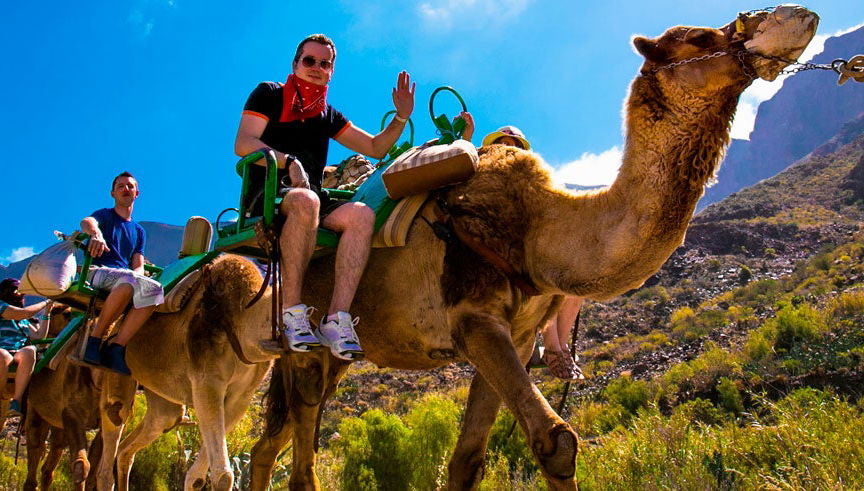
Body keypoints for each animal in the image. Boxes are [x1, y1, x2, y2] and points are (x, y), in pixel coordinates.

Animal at [94, 253, 278, 491]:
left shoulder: (241, 398)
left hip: (160, 392)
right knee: (114, 416)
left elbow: (198, 477)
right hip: (116, 366)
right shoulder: (207, 382)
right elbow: (222, 475)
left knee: (143, 435)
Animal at [245, 5, 819, 490]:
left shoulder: (515, 338)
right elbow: (554, 440)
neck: (535, 231)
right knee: (300, 445)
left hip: (336, 355)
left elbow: (470, 459)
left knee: (269, 441)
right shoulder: (474, 318)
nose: (797, 16)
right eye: (699, 38)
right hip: (305, 338)